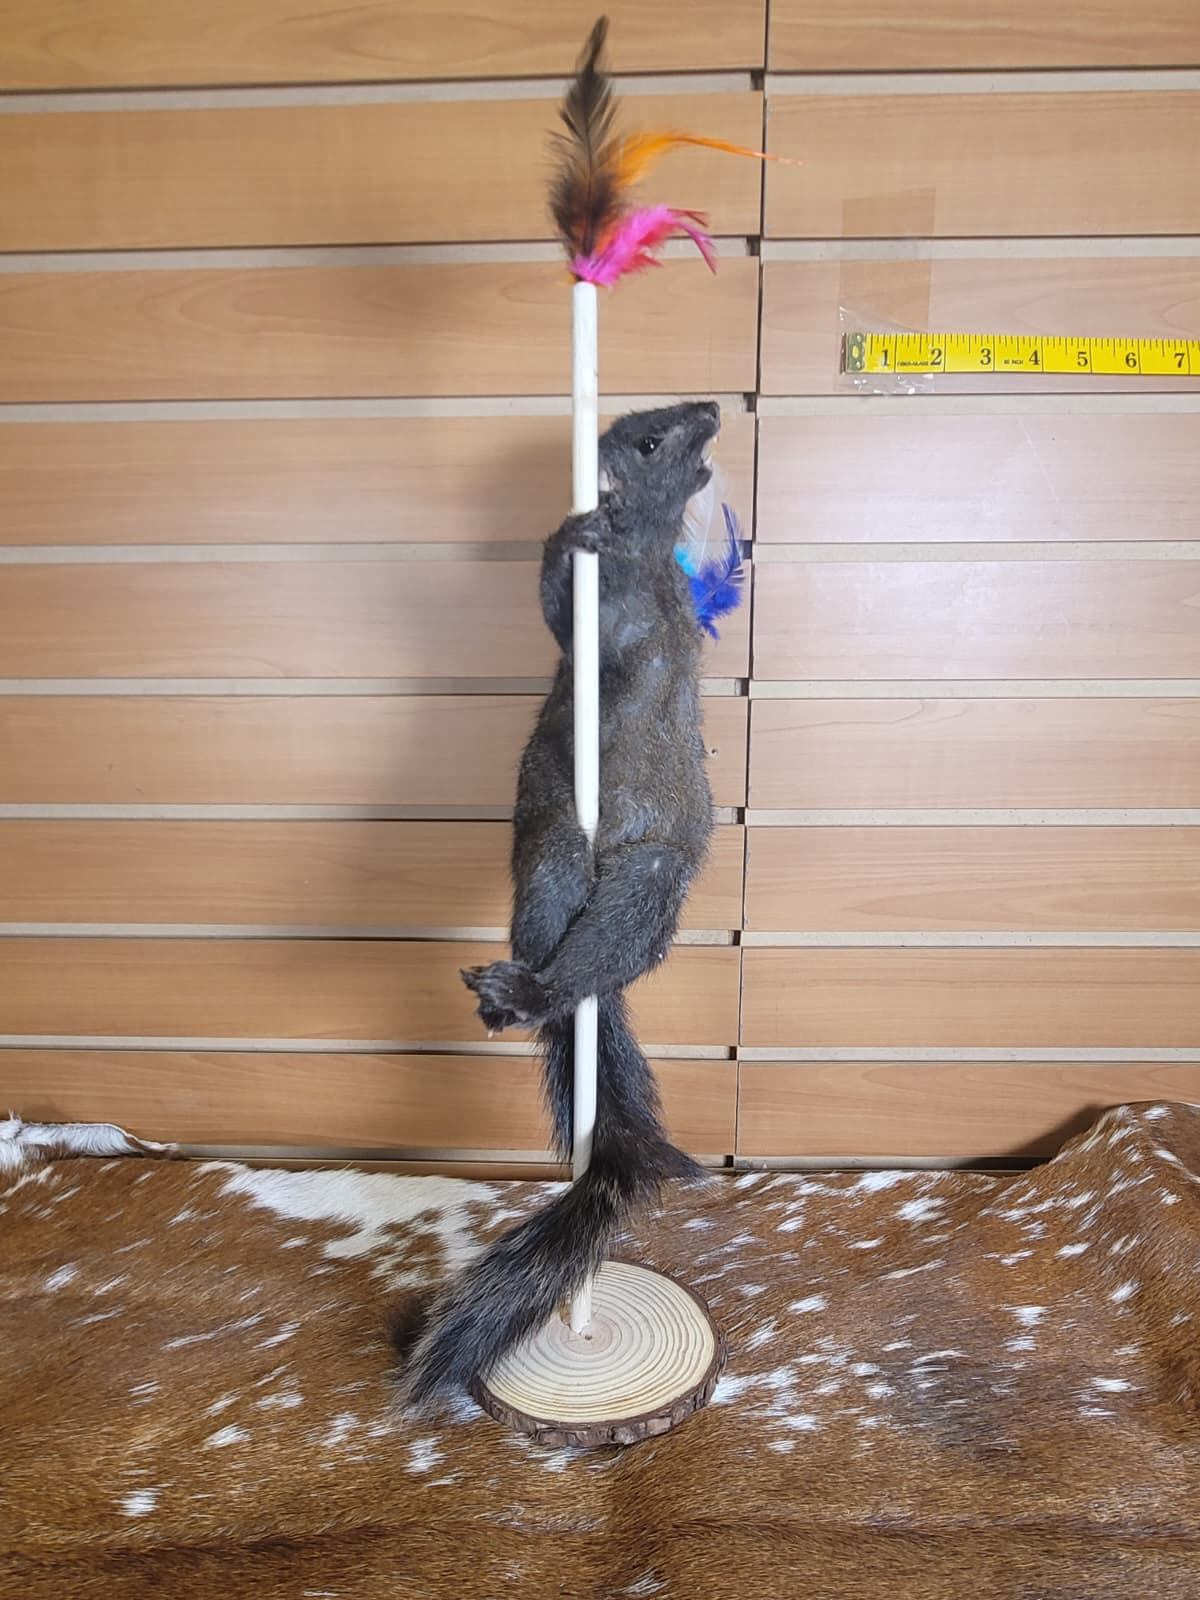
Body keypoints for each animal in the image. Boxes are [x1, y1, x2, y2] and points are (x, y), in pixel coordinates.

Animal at [399, 400, 720, 1408]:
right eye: (651, 437)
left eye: (683, 421)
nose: (715, 410)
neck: (636, 573)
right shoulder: (582, 625)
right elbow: (555, 612)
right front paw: (572, 533)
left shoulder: (667, 616)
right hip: (548, 841)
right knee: (555, 934)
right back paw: (514, 994)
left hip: (652, 872)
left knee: (609, 949)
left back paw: (535, 993)